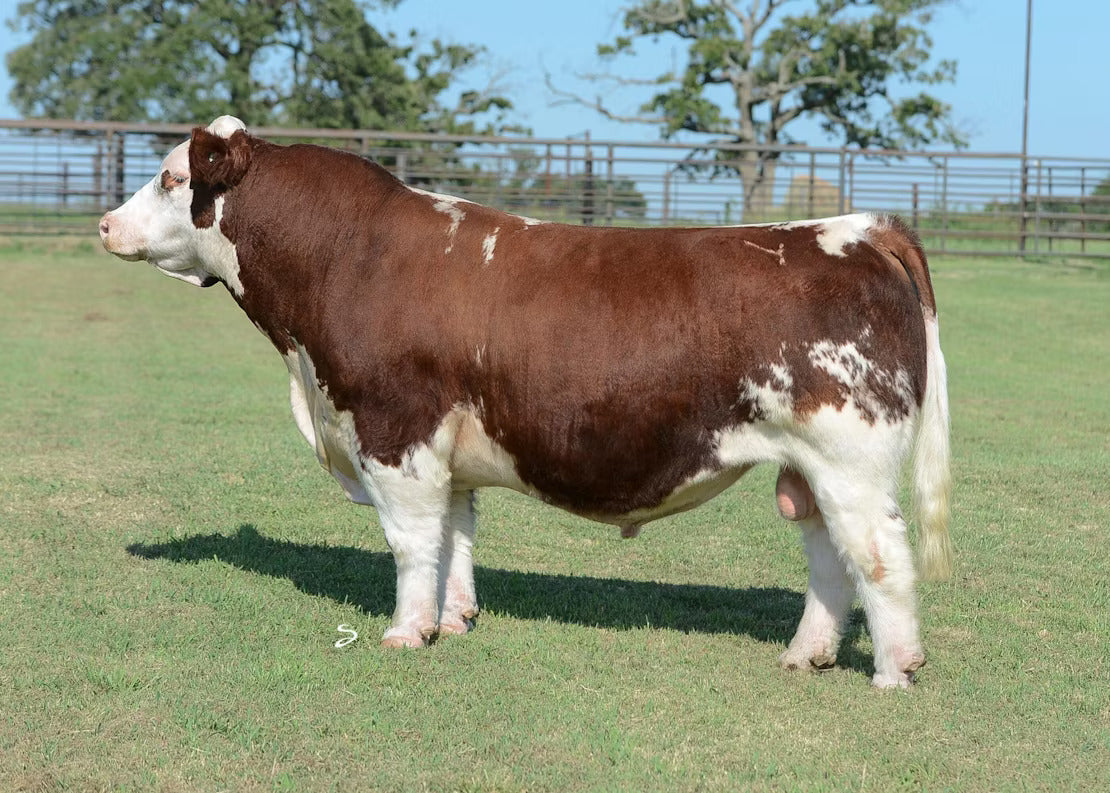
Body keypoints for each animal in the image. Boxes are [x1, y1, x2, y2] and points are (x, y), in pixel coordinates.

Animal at [99, 116, 952, 688]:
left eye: (171, 178)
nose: (105, 223)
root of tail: (857, 226)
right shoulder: (447, 451)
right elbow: (456, 536)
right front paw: (452, 618)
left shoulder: (394, 433)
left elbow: (412, 542)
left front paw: (406, 631)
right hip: (807, 467)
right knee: (829, 554)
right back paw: (806, 652)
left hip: (850, 459)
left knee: (878, 555)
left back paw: (894, 668)